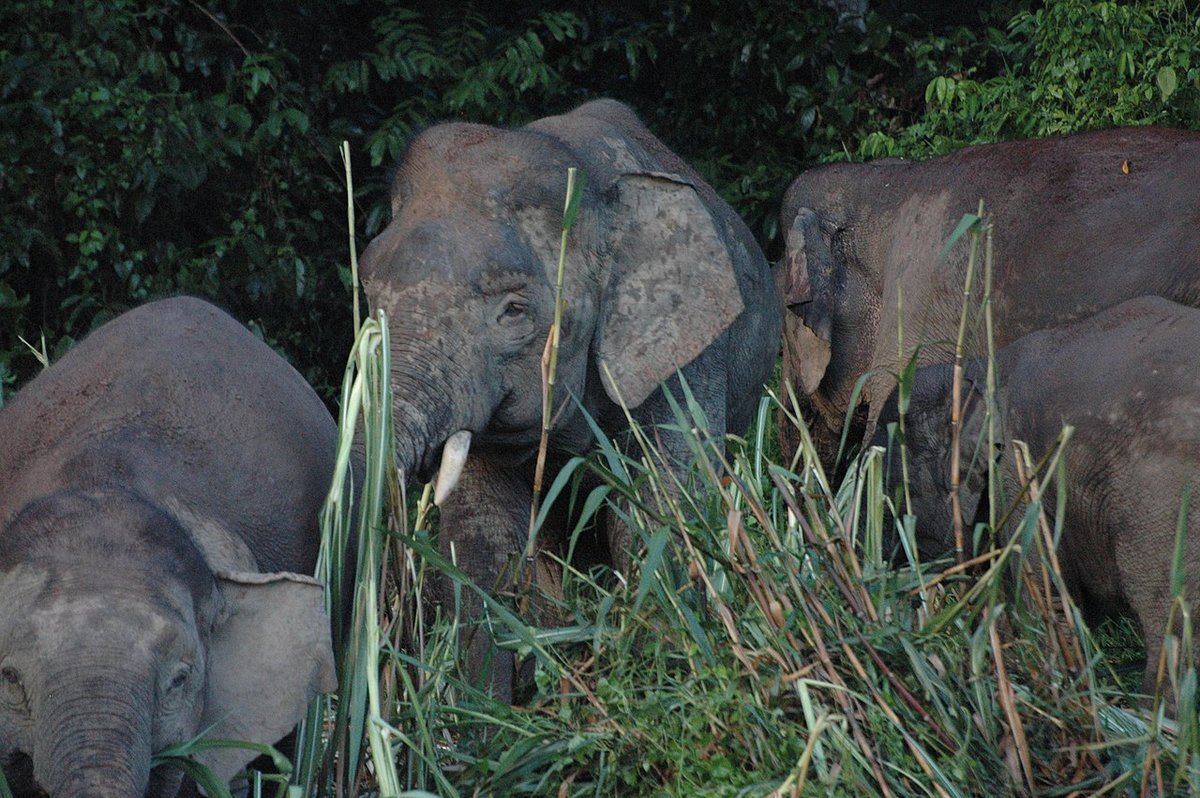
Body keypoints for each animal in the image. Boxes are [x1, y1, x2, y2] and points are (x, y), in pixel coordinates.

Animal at [360, 97, 782, 696]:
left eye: (514, 311)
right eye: (369, 292)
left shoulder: (683, 353)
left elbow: (660, 510)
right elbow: (485, 542)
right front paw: (492, 715)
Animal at [873, 297, 1200, 696]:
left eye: (899, 491)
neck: (976, 371)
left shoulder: (1020, 473)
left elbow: (1043, 598)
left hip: (1164, 499)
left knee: (1170, 624)